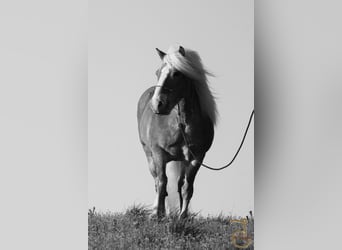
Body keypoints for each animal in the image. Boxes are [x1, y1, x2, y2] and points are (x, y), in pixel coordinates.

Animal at [136, 45, 216, 219]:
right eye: (157, 72)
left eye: (177, 73)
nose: (157, 104)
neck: (182, 124)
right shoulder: (158, 153)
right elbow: (162, 182)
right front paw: (157, 214)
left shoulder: (196, 158)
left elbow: (187, 187)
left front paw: (183, 216)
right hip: (149, 155)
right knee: (157, 181)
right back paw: (159, 211)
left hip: (182, 161)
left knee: (179, 184)